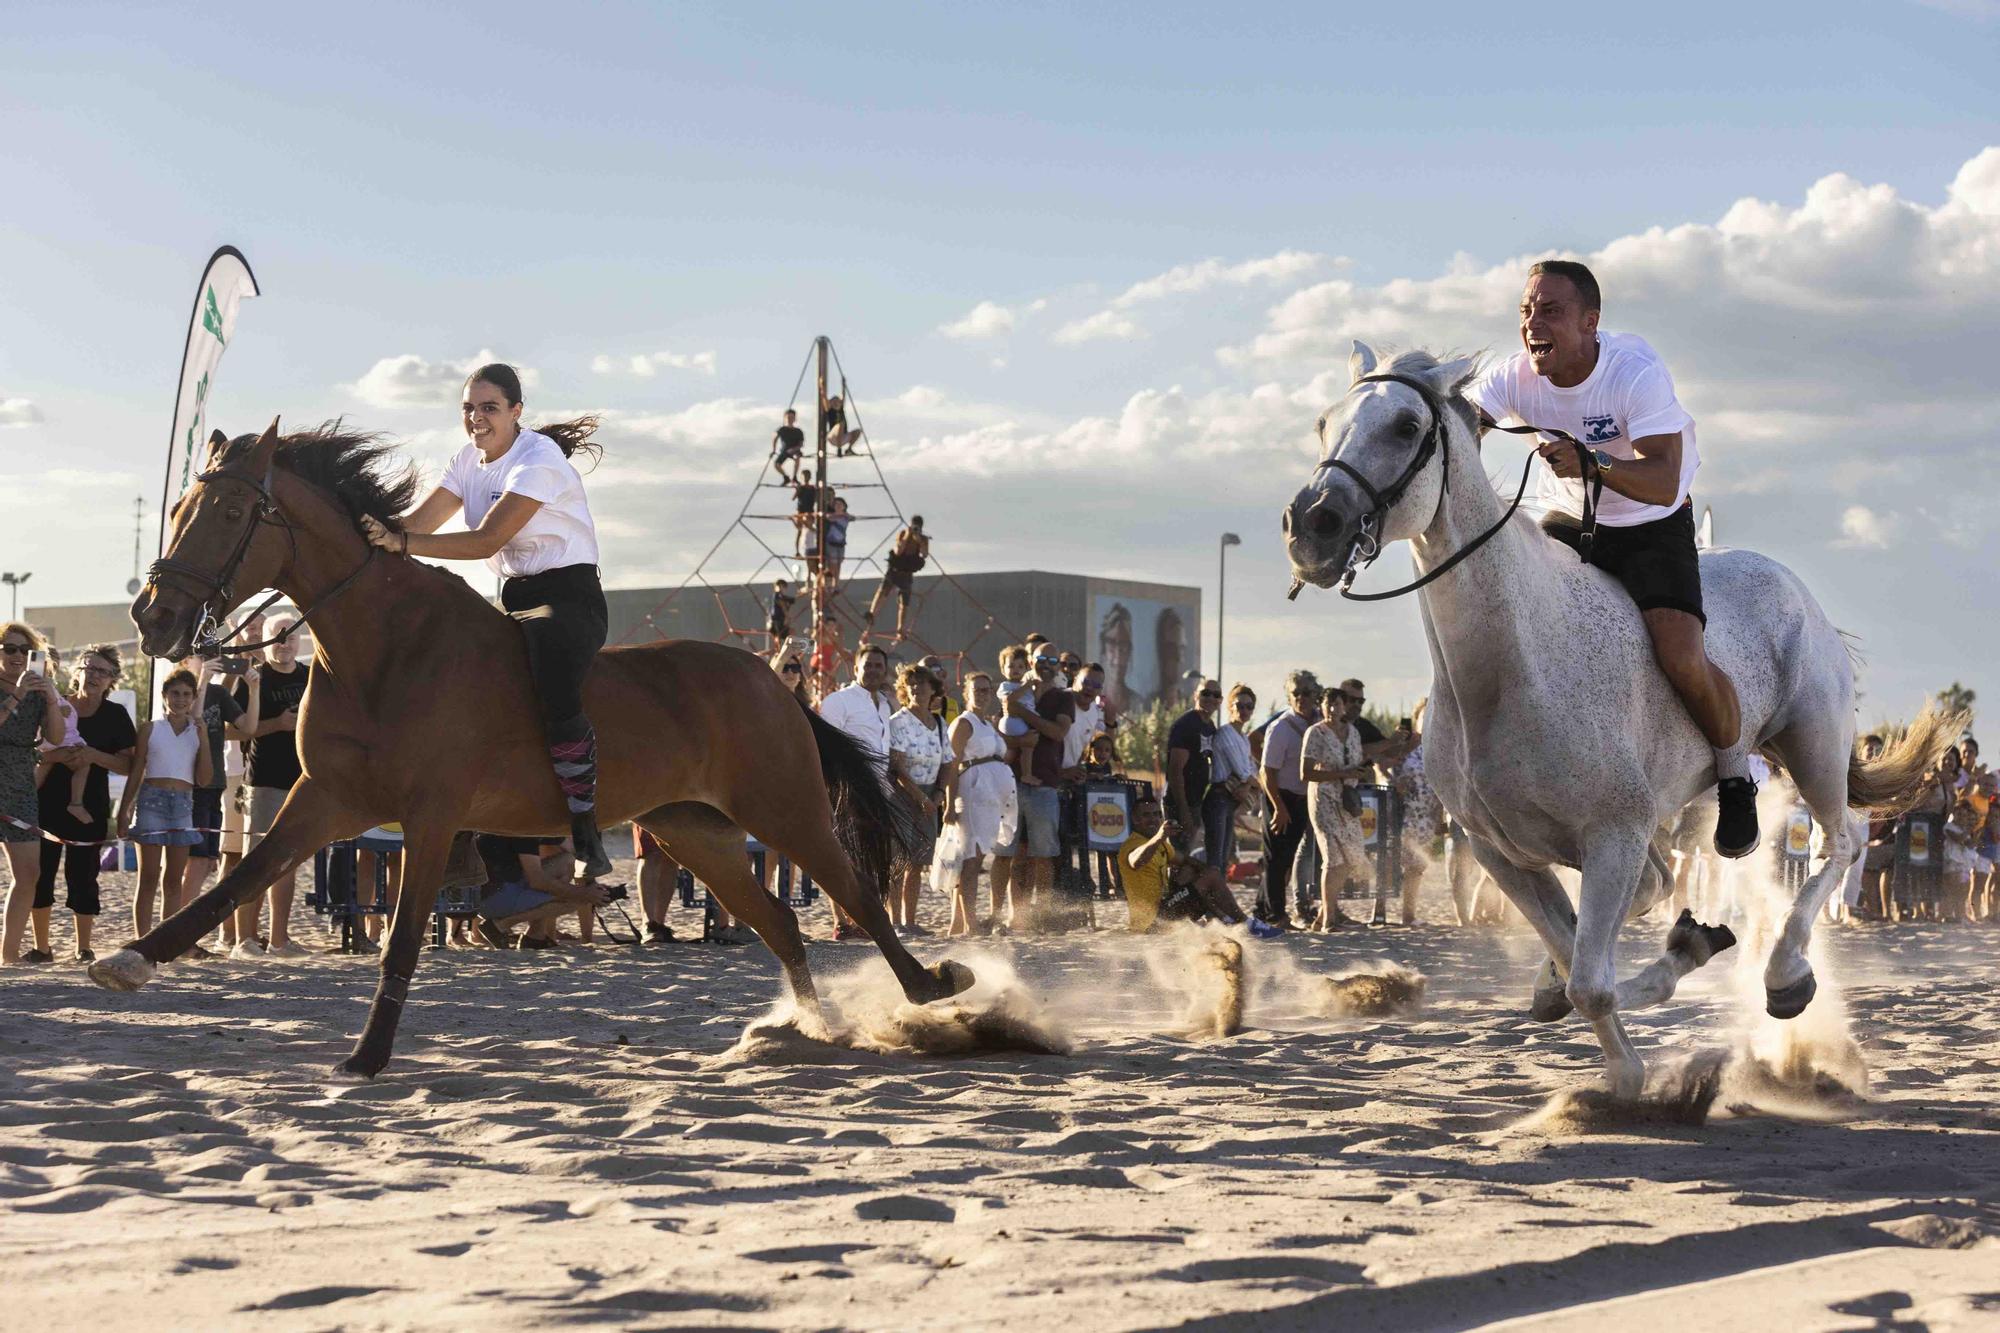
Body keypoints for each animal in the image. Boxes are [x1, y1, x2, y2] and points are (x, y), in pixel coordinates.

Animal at [97, 420, 972, 1072]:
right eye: (177, 509)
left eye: (226, 514)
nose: (153, 618)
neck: (381, 646)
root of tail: (778, 684)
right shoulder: (329, 799)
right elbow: (237, 881)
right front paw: (132, 958)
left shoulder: (431, 816)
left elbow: (402, 939)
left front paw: (368, 1057)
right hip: (696, 832)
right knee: (782, 922)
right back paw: (804, 1032)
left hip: (784, 810)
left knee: (857, 897)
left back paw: (932, 990)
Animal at [1280, 340, 1952, 1088]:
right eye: (1323, 423)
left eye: (1404, 427)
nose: (1311, 527)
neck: (1513, 668)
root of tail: (1794, 587)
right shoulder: (1503, 852)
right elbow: (1575, 954)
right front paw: (1613, 998)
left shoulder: (1613, 836)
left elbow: (1592, 983)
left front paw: (1635, 1058)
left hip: (1812, 748)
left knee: (1843, 844)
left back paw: (1785, 976)